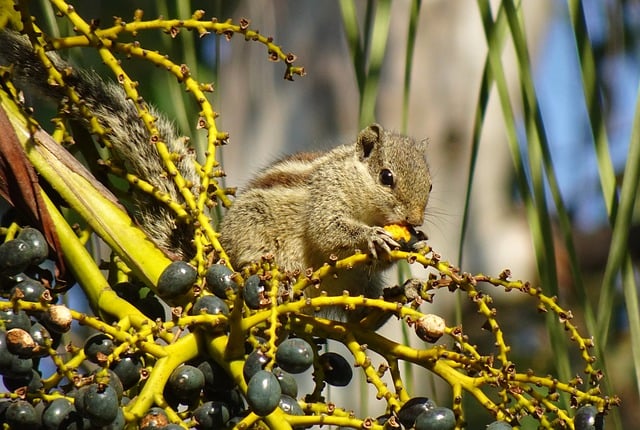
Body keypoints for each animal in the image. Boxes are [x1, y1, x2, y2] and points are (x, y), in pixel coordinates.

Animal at [0, 29, 432, 322]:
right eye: (387, 177)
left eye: (430, 186)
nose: (413, 219)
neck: (357, 185)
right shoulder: (326, 195)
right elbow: (328, 230)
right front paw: (371, 237)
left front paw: (416, 242)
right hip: (255, 236)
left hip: (355, 287)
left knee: (364, 312)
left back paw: (400, 294)